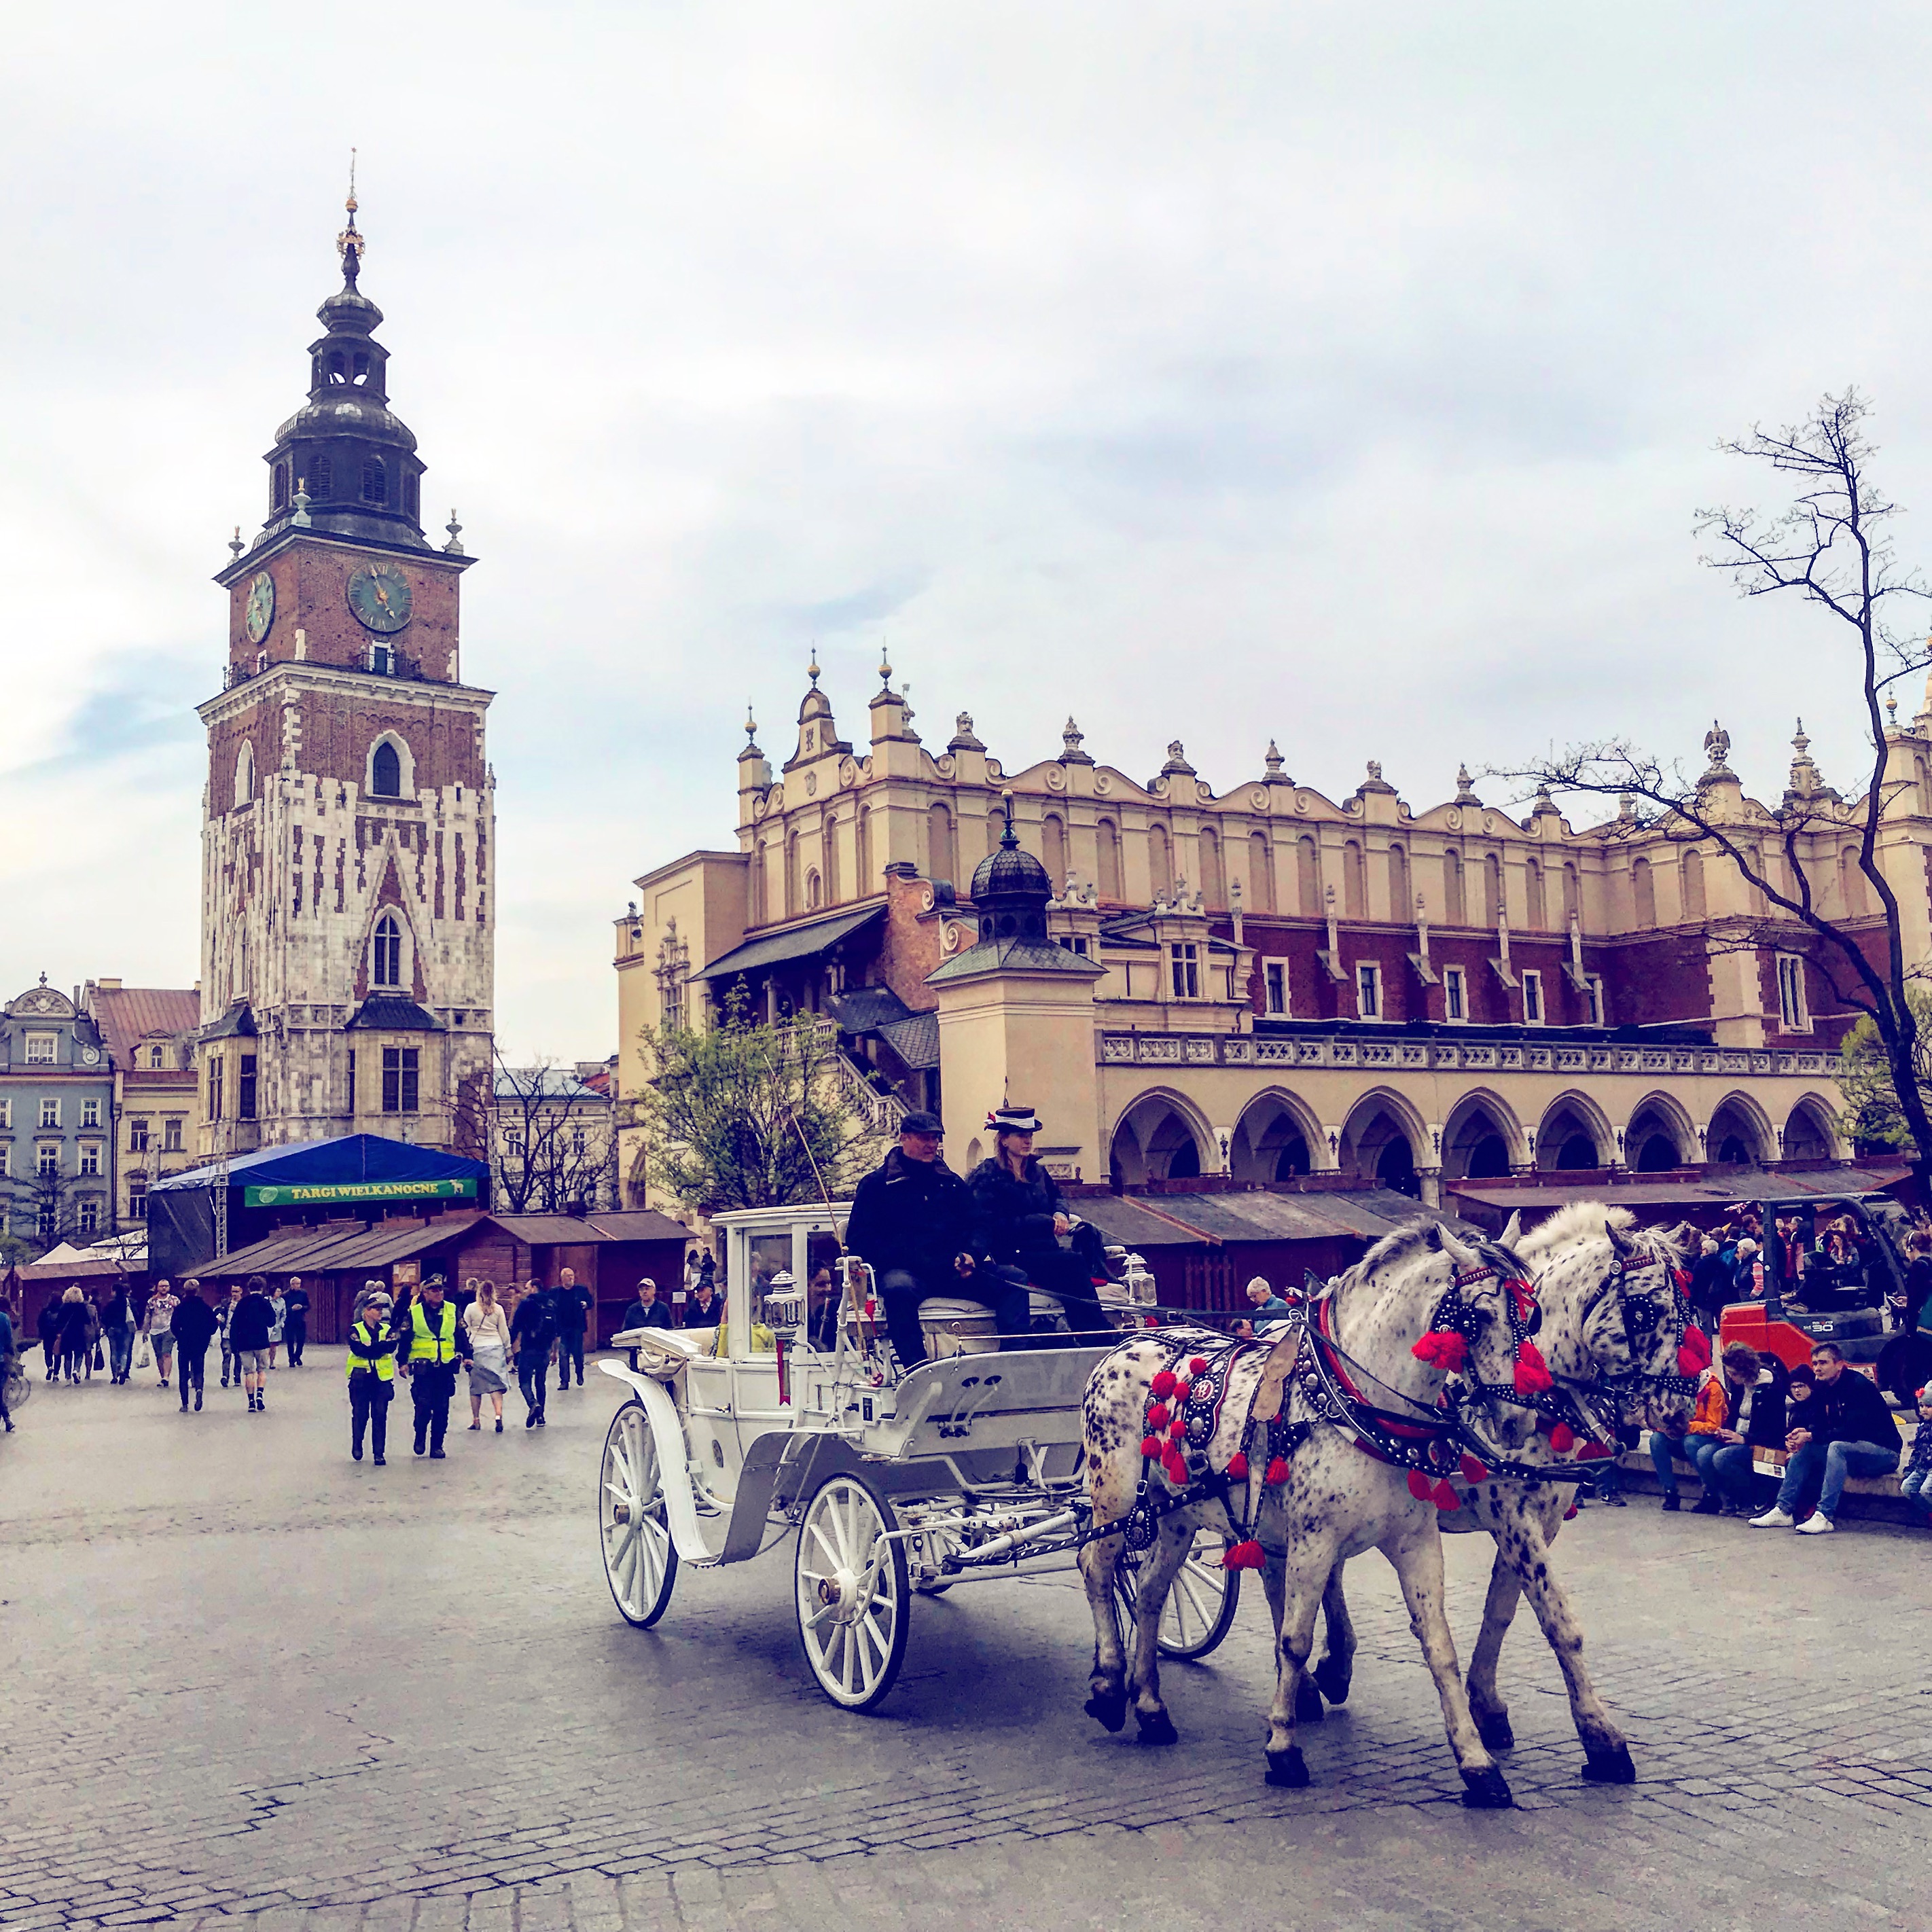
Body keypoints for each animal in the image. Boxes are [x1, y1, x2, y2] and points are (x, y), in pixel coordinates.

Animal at [1081, 1228, 1545, 1800]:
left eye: (1534, 1314)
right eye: (1478, 1317)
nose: (1521, 1419)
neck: (1359, 1402)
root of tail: (1125, 1343)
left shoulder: (1415, 1540)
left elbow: (1440, 1647)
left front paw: (1477, 1763)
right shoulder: (1313, 1541)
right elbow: (1295, 1639)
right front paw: (1283, 1747)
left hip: (1176, 1517)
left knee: (1149, 1592)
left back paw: (1150, 1708)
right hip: (1115, 1496)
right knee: (1096, 1568)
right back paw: (1108, 1684)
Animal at [1298, 1205, 1708, 1777]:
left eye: (1692, 1305)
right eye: (1647, 1311)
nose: (1681, 1410)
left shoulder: (1541, 1519)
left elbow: (1503, 1609)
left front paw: (1487, 1706)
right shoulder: (1512, 1516)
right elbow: (1558, 1619)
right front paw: (1602, 1738)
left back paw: (1334, 1664)